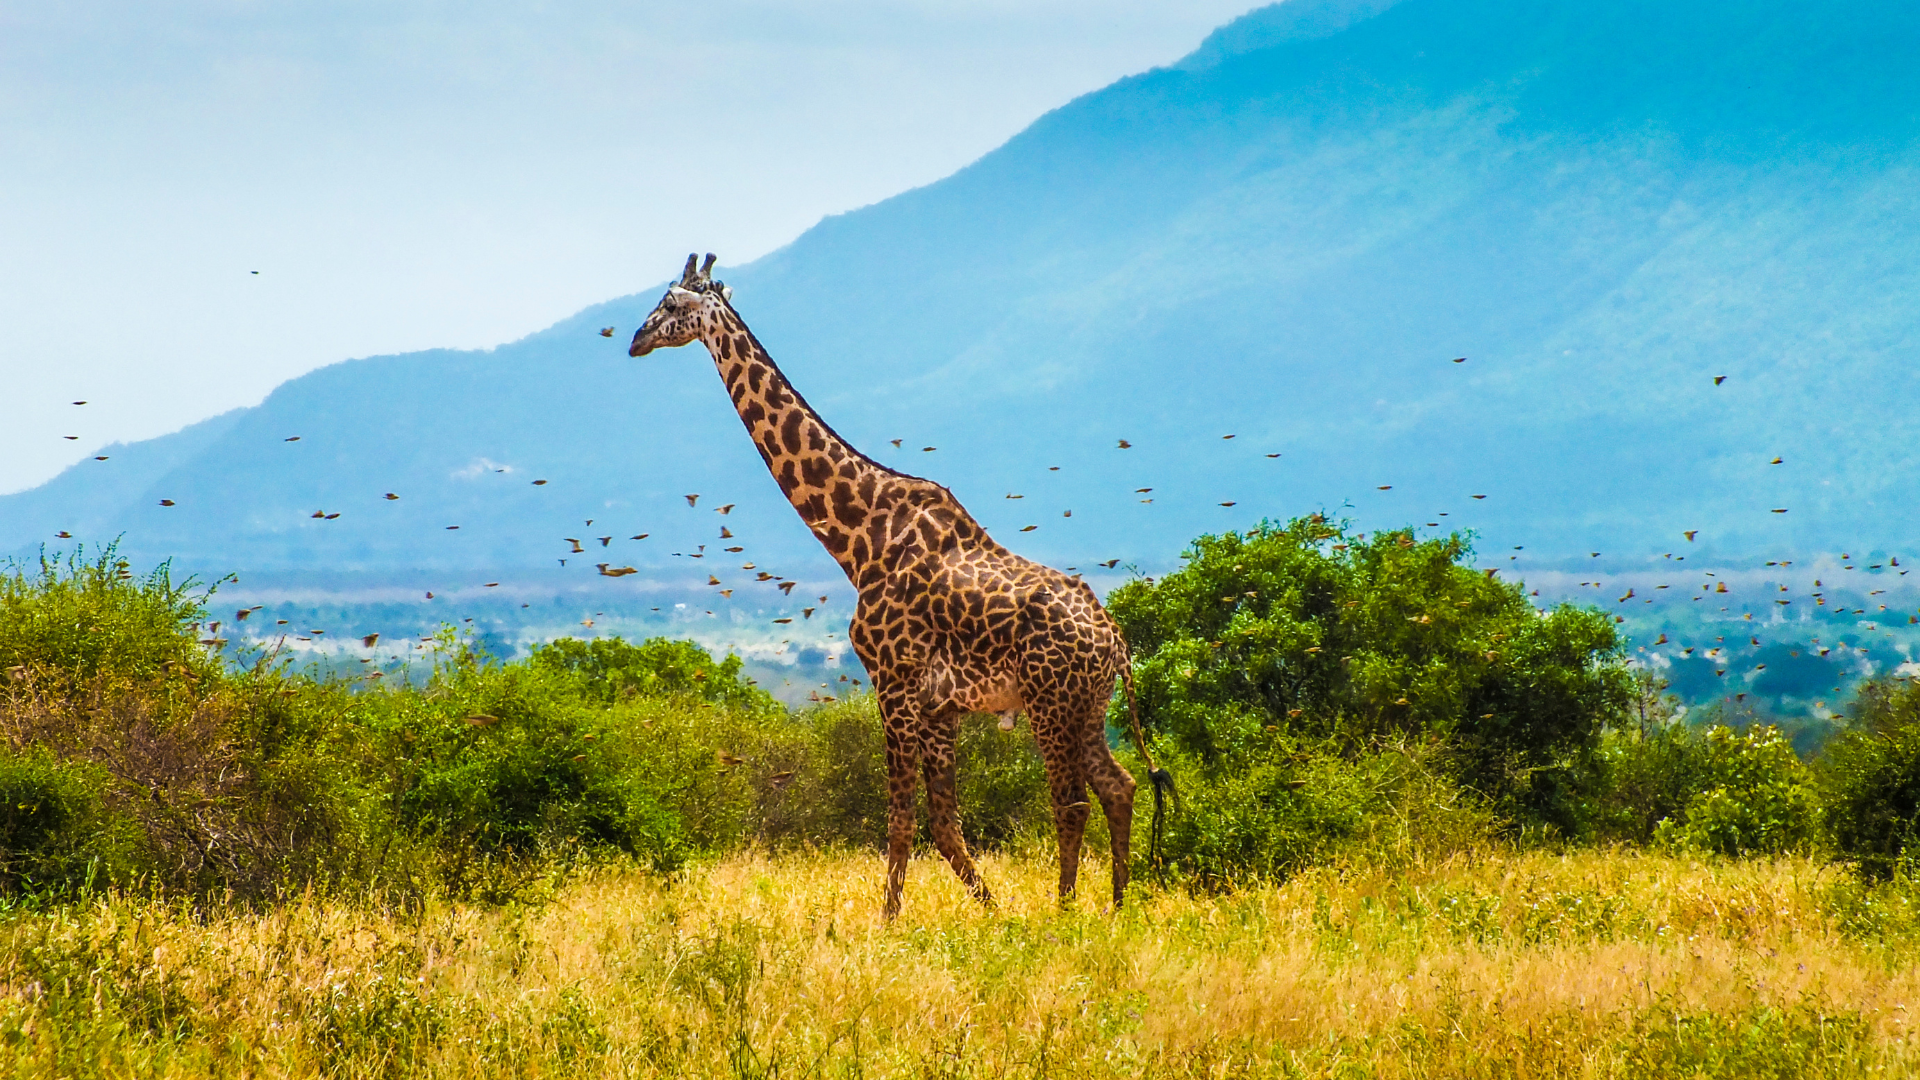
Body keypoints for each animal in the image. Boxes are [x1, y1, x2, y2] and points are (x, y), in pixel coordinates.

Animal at [630, 254, 1169, 917]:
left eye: (671, 304)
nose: (635, 339)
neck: (860, 537)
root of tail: (1115, 641)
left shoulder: (892, 680)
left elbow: (900, 817)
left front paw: (888, 922)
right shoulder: (939, 703)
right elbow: (943, 820)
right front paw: (990, 910)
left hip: (1051, 701)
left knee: (1071, 802)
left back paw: (1065, 912)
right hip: (1088, 705)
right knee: (1119, 787)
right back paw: (1117, 906)